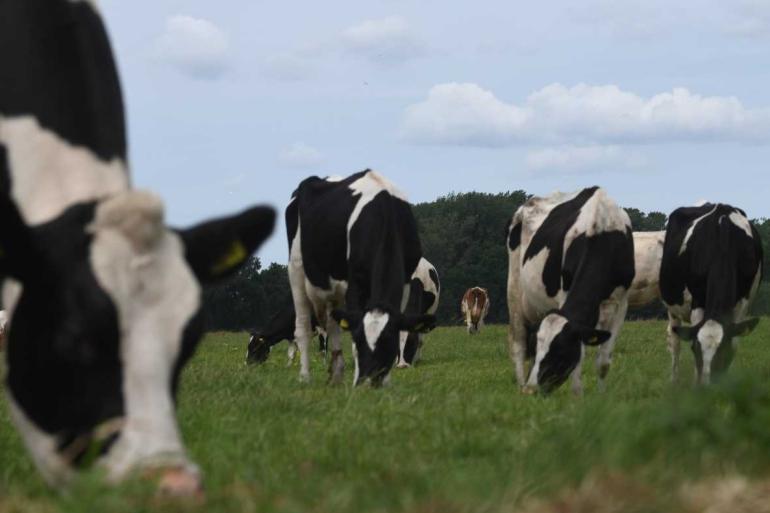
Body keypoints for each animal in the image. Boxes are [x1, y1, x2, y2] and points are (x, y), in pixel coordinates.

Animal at [284, 170, 436, 386]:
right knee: (302, 326)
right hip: (296, 269)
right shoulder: (354, 282)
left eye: (387, 342)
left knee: (333, 324)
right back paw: (305, 377)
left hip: (333, 289)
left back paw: (337, 375)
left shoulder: (405, 281)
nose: (367, 381)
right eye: (359, 341)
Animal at [500, 186, 632, 394]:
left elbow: (604, 361)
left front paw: (602, 396)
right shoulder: (564, 294)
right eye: (537, 348)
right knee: (518, 342)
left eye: (560, 350)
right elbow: (579, 362)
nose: (531, 390)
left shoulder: (622, 302)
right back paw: (520, 384)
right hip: (514, 290)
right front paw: (577, 396)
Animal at [656, 202, 760, 382]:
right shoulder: (697, 301)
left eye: (724, 352)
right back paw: (674, 380)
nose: (707, 385)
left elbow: (734, 342)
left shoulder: (743, 303)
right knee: (675, 340)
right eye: (695, 350)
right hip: (672, 306)